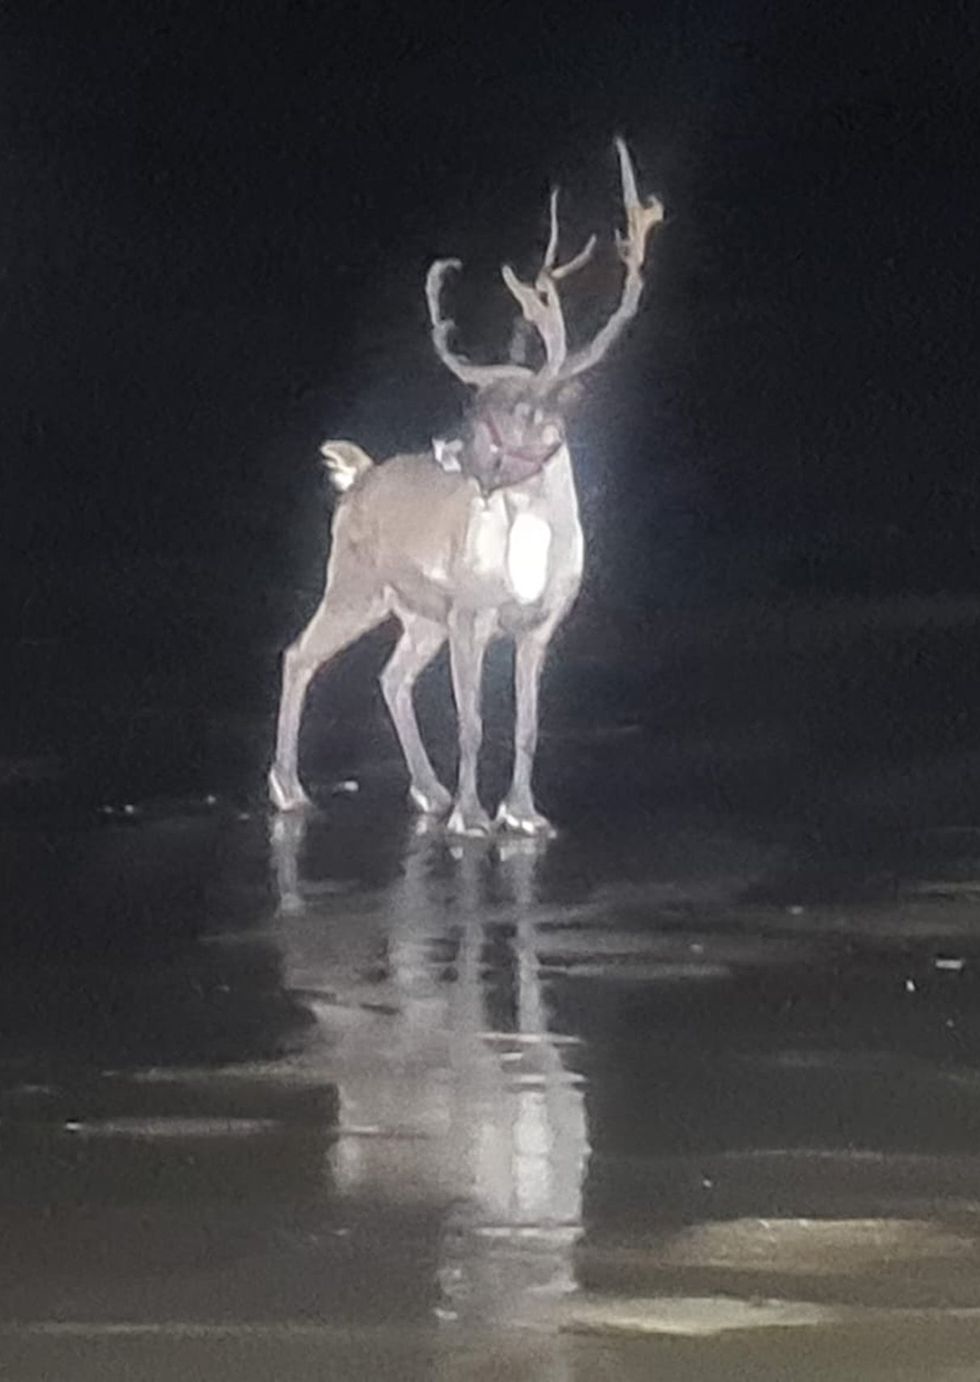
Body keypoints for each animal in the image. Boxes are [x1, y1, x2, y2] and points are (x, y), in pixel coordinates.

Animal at [268, 138, 663, 836]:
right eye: (474, 403)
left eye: (518, 411)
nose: (449, 448)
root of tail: (358, 475)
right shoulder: (469, 614)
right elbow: (473, 722)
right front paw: (474, 816)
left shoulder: (539, 625)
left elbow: (528, 726)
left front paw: (525, 814)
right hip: (356, 582)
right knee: (299, 654)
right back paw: (290, 789)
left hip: (415, 613)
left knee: (390, 676)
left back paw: (428, 791)